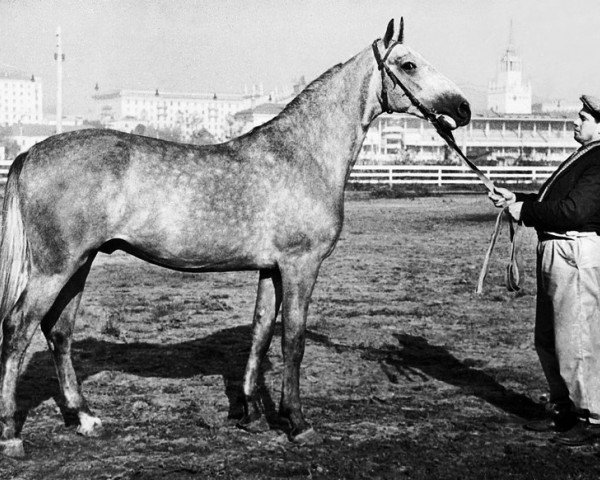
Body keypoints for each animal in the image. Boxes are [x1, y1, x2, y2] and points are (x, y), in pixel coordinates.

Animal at [0, 19, 468, 454]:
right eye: (408, 64)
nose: (462, 109)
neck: (302, 155)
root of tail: (30, 152)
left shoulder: (270, 269)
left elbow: (260, 334)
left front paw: (251, 414)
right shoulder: (300, 265)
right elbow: (293, 340)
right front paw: (297, 422)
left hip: (80, 263)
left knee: (58, 332)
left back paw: (85, 418)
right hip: (54, 268)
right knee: (18, 331)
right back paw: (11, 435)